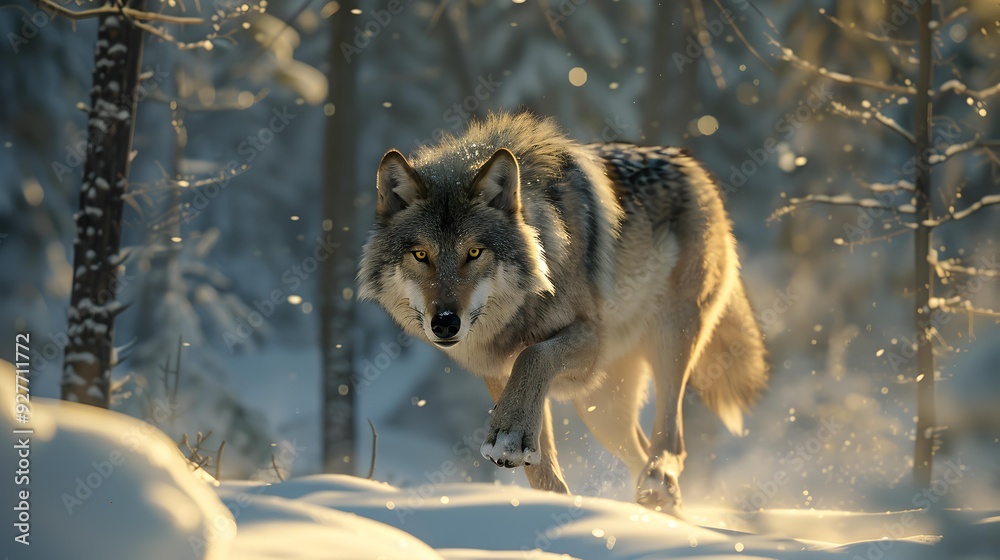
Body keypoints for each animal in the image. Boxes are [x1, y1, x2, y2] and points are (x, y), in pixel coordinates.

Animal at [358, 112, 767, 514]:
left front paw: (509, 437)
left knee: (671, 441)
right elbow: (541, 471)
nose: (445, 323)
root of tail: (691, 164)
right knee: (642, 453)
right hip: (602, 408)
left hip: (668, 339)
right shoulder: (498, 371)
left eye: (474, 252)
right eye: (420, 255)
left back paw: (657, 482)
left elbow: (533, 355)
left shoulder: (588, 340)